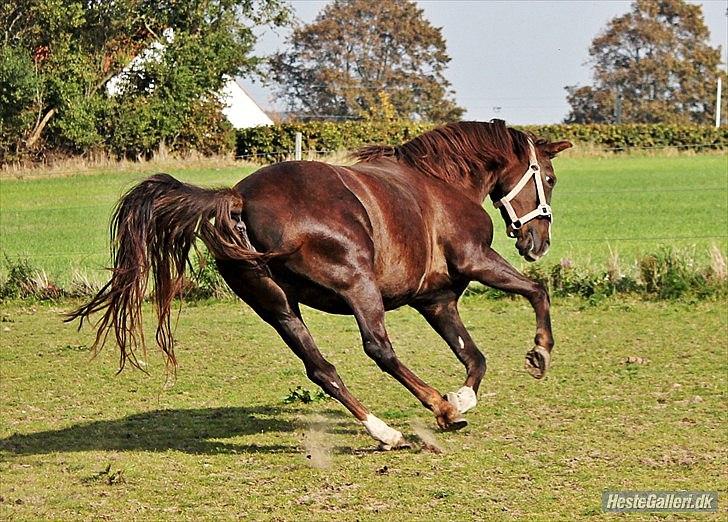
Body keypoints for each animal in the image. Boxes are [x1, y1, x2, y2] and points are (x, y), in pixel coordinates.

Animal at [67, 118, 568, 446]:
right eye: (549, 178)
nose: (538, 242)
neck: (442, 182)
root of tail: (239, 199)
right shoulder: (476, 260)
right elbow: (536, 292)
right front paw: (536, 355)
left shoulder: (437, 299)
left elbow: (474, 357)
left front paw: (462, 397)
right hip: (358, 286)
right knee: (379, 350)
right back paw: (434, 408)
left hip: (276, 306)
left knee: (322, 369)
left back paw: (386, 431)